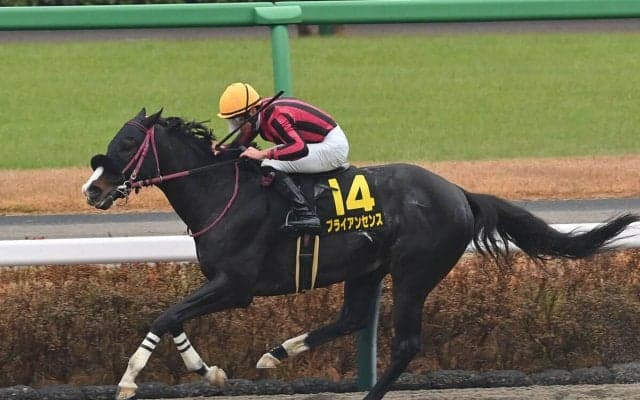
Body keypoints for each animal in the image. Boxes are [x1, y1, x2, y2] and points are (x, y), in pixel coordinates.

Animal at [82, 108, 639, 400]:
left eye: (127, 143)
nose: (92, 189)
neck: (222, 190)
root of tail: (459, 193)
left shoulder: (235, 285)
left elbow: (166, 314)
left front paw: (129, 380)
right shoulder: (220, 283)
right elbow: (174, 317)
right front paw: (208, 371)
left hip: (414, 272)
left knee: (406, 344)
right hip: (367, 268)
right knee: (351, 318)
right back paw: (276, 353)